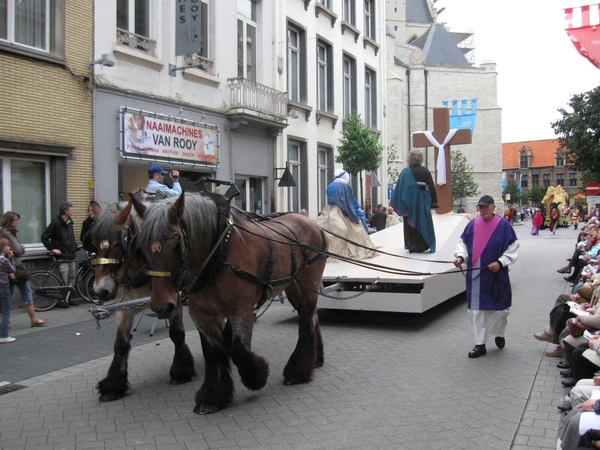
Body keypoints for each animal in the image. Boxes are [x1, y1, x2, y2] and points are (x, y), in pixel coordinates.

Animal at [89, 200, 197, 400]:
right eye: (94, 243)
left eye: (118, 243)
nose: (101, 290)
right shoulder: (125, 308)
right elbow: (121, 343)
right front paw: (113, 385)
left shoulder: (173, 300)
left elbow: (177, 334)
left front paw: (181, 371)